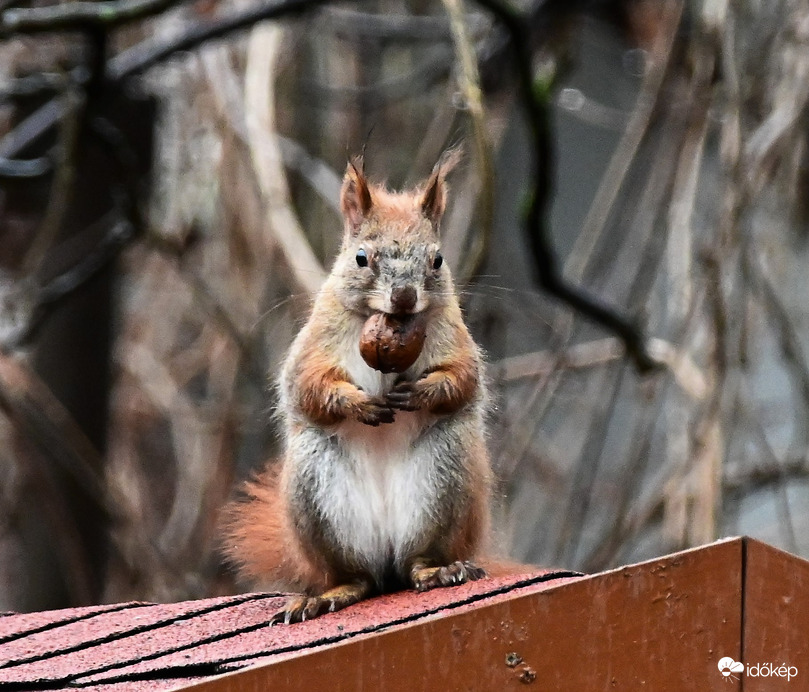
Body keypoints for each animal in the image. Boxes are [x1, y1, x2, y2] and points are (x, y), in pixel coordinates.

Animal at [218, 150, 490, 620]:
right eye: (361, 257)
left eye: (437, 260)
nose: (404, 297)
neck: (383, 320)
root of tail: (388, 556)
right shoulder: (313, 348)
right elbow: (307, 387)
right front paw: (357, 404)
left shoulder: (456, 341)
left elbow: (463, 380)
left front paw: (421, 393)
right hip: (317, 494)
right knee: (359, 577)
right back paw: (331, 594)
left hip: (446, 478)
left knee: (416, 561)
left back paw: (437, 571)